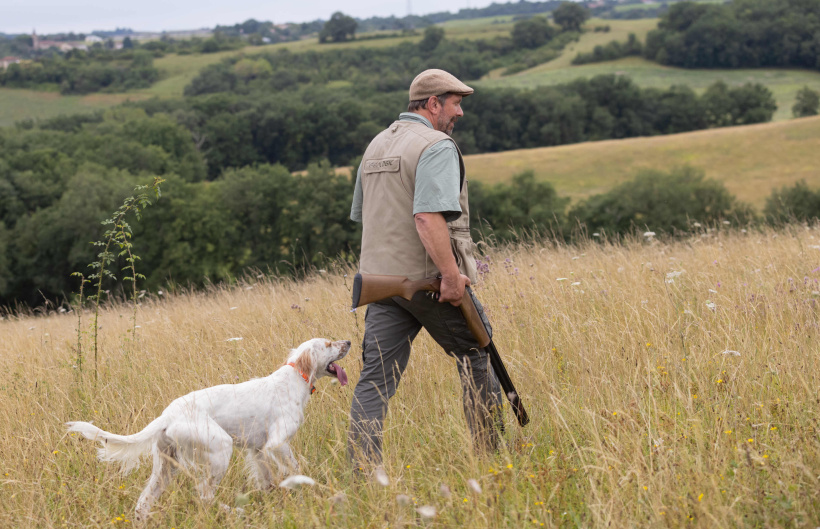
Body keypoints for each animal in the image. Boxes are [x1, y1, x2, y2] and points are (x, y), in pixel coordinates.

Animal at [66, 338, 350, 520]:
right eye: (327, 344)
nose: (347, 342)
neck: (296, 378)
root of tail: (167, 414)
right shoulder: (277, 443)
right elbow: (296, 469)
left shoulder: (258, 449)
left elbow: (267, 479)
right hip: (221, 449)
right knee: (204, 496)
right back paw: (234, 511)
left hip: (165, 467)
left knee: (143, 502)